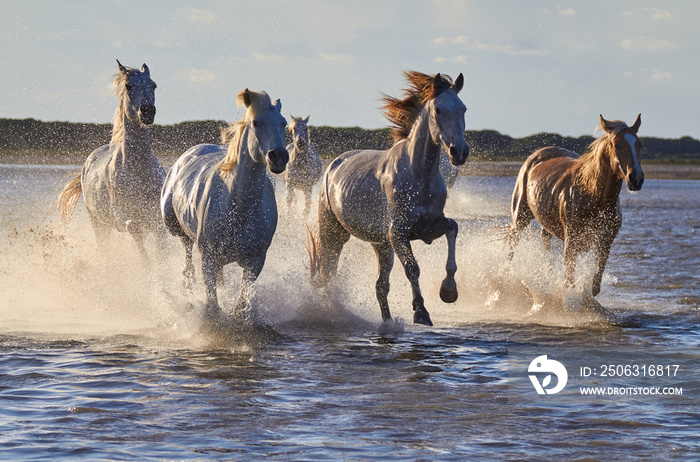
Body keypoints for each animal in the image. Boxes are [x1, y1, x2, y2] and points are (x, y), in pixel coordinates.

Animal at [57, 60, 165, 260]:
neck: (138, 171)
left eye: (153, 85)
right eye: (128, 86)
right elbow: (134, 229)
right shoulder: (120, 214)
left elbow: (162, 248)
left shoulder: (156, 218)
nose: (147, 111)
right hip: (98, 223)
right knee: (105, 249)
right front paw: (147, 265)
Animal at [160, 87, 288, 318]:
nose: (279, 157)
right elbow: (212, 305)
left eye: (283, 123)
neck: (239, 208)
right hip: (176, 227)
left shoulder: (255, 262)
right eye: (256, 122)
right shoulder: (208, 258)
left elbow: (242, 303)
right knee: (187, 255)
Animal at [308, 70, 468, 326]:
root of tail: (333, 165)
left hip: (381, 245)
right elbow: (413, 268)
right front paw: (421, 311)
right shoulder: (399, 233)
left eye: (463, 108)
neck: (418, 174)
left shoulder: (428, 228)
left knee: (380, 286)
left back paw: (388, 322)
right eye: (438, 110)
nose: (459, 152)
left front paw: (448, 291)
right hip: (334, 233)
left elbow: (453, 228)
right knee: (328, 272)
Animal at [504, 113, 644, 298]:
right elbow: (569, 281)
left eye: (639, 144)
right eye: (617, 144)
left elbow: (595, 283)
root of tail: (537, 156)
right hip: (520, 215)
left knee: (545, 240)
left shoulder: (605, 243)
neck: (594, 197)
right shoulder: (571, 242)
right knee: (513, 243)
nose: (636, 178)